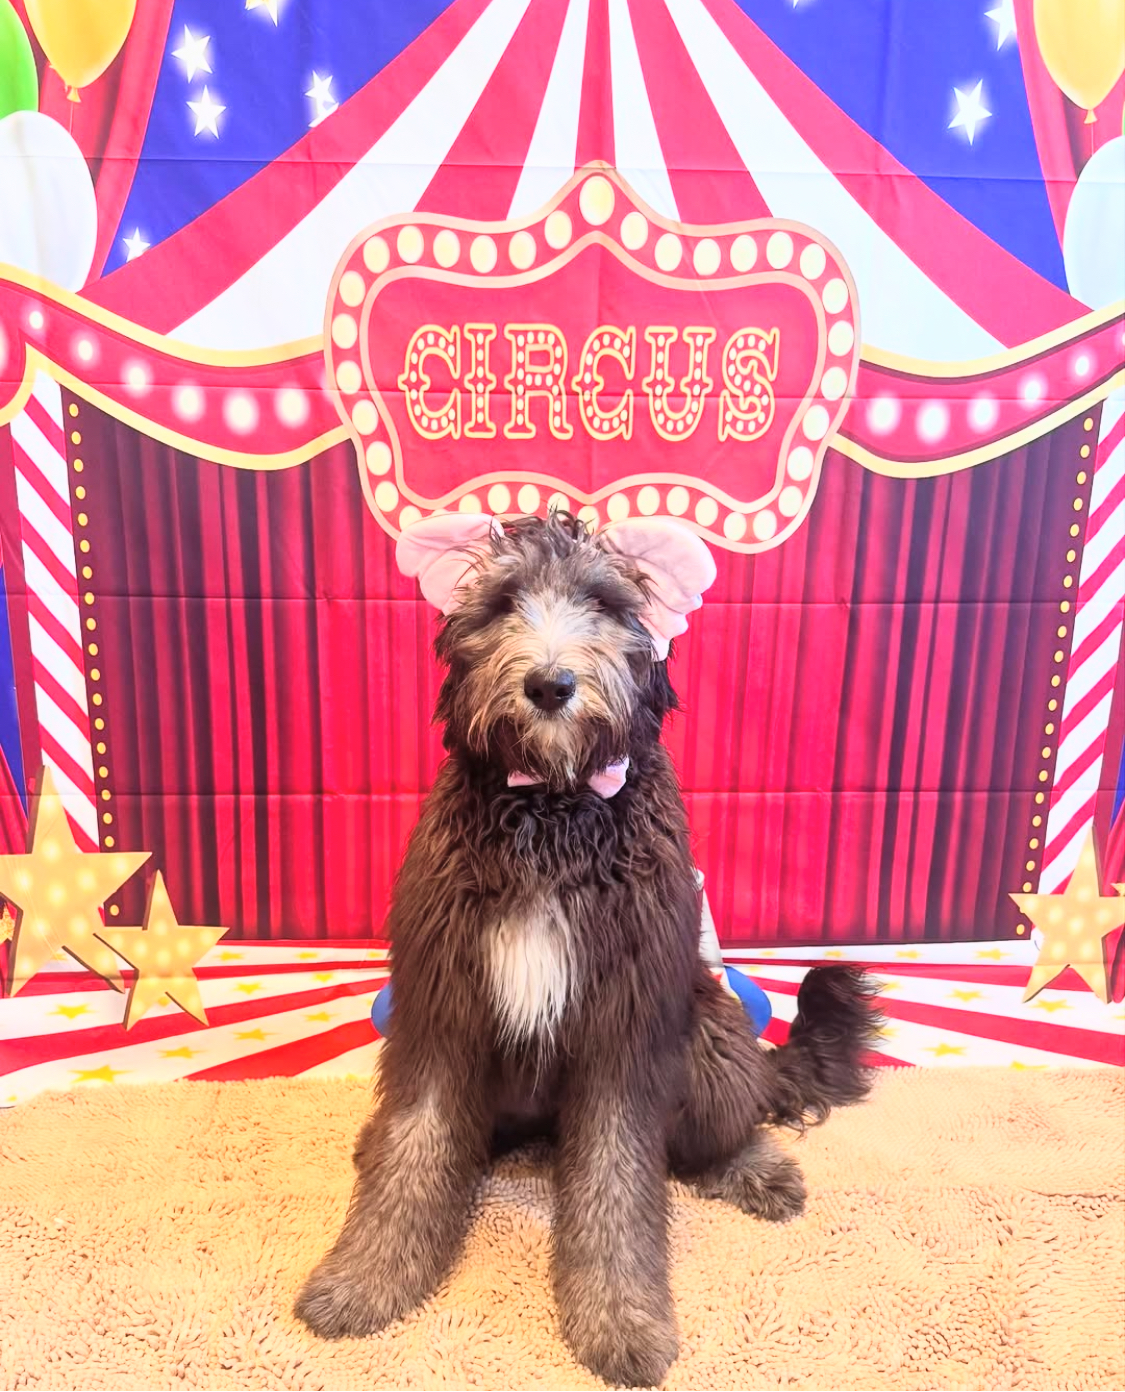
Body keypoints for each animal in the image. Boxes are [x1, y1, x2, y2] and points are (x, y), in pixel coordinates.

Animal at [296, 510, 881, 1386]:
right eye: (503, 602)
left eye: (604, 604)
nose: (549, 685)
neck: (551, 808)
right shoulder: (441, 1007)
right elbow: (416, 1147)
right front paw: (366, 1279)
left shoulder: (625, 1027)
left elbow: (616, 1178)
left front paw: (620, 1322)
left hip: (708, 1030)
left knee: (721, 1125)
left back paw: (753, 1166)